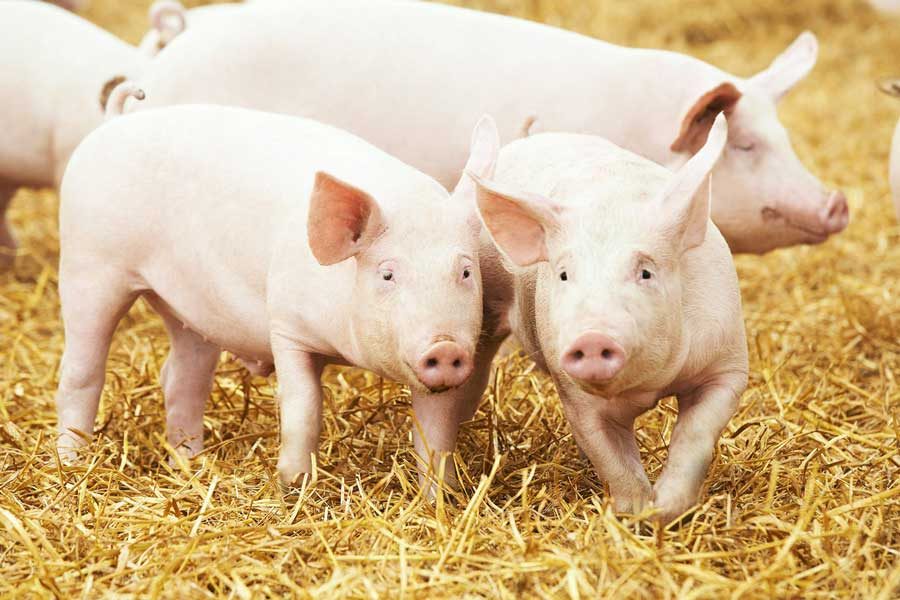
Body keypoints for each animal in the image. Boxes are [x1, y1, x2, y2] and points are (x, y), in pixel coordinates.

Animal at [55, 101, 500, 488]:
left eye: (465, 272)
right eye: (388, 274)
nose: (444, 346)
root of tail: (110, 125)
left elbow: (437, 433)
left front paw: (441, 497)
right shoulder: (286, 326)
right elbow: (303, 406)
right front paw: (292, 484)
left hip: (191, 312)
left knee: (182, 380)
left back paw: (191, 464)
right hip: (89, 266)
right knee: (81, 373)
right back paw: (70, 462)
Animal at [472, 115, 749, 523]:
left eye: (646, 273)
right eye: (564, 274)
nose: (592, 337)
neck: (649, 387)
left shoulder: (727, 364)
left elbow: (696, 434)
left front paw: (664, 508)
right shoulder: (574, 394)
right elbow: (612, 460)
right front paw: (638, 512)